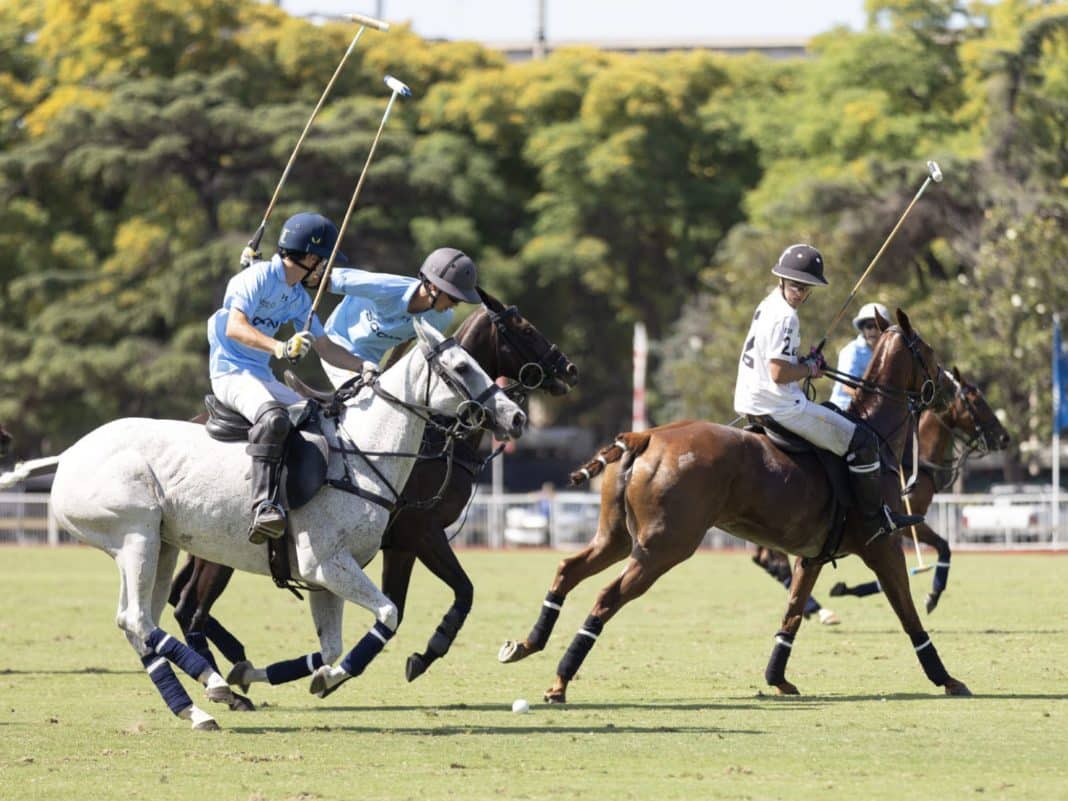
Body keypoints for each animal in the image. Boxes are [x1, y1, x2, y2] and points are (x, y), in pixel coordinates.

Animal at [50, 316, 525, 730]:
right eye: (462, 367)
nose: (517, 416)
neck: (363, 452)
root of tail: (68, 455)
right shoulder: (332, 562)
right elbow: (389, 614)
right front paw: (325, 678)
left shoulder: (324, 576)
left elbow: (330, 647)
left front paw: (284, 675)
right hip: (137, 536)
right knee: (139, 619)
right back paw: (213, 685)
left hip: (162, 545)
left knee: (139, 622)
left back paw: (199, 704)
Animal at [170, 288, 580, 700]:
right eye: (524, 327)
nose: (569, 369)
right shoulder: (419, 531)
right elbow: (460, 592)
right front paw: (427, 652)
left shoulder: (399, 544)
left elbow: (403, 606)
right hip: (218, 551)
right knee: (190, 608)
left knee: (181, 601)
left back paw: (234, 667)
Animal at [499, 309, 978, 704]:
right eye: (928, 352)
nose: (945, 387)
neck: (875, 432)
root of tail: (644, 435)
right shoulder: (884, 544)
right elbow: (908, 612)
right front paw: (947, 678)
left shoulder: (812, 555)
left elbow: (792, 613)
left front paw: (777, 679)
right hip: (664, 547)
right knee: (606, 596)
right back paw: (560, 680)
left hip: (617, 537)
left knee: (568, 568)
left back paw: (526, 645)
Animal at [824, 367, 1008, 610]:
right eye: (976, 401)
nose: (1004, 437)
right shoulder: (907, 522)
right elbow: (942, 546)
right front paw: (933, 595)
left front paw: (844, 589)